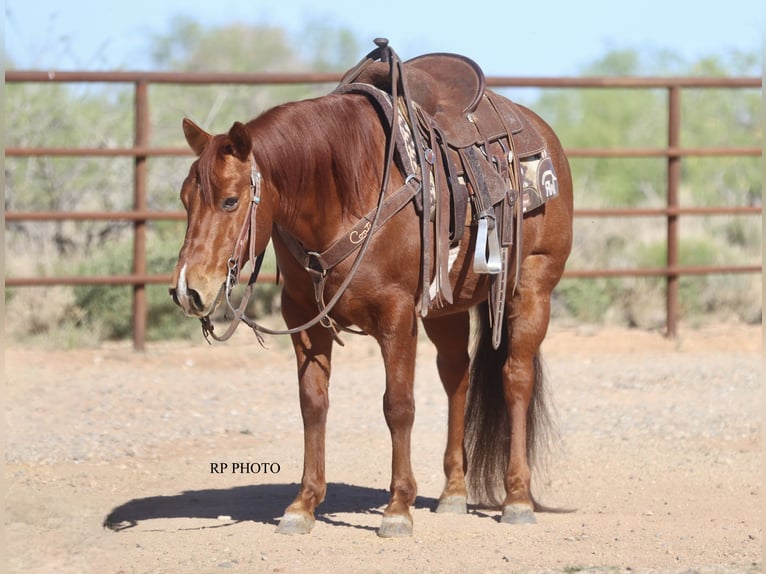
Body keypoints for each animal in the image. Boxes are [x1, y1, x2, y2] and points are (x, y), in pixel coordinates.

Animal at [169, 41, 573, 538]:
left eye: (230, 200)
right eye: (185, 199)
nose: (188, 290)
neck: (342, 190)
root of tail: (541, 134)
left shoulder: (395, 314)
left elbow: (398, 405)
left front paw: (397, 509)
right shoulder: (303, 315)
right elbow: (313, 404)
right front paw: (303, 505)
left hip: (532, 287)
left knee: (516, 378)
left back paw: (517, 499)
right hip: (447, 309)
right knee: (456, 378)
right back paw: (453, 494)